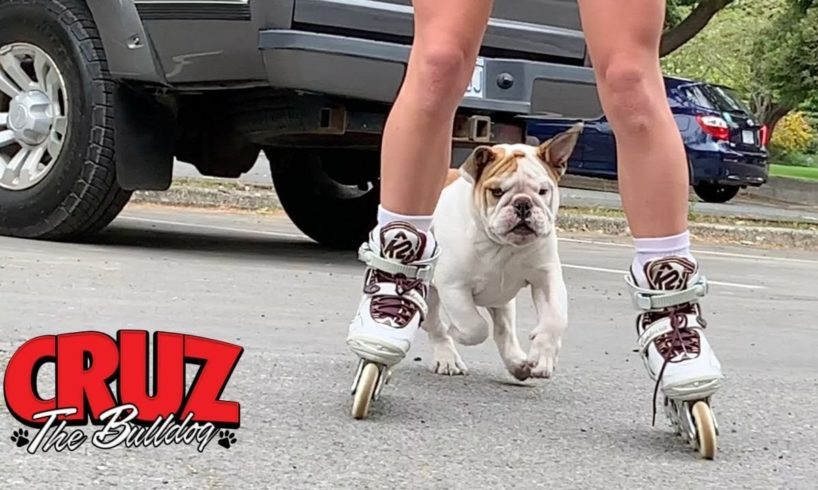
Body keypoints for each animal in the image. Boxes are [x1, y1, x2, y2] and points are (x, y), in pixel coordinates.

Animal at [420, 121, 580, 378]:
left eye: (543, 191)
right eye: (496, 192)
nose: (523, 202)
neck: (502, 247)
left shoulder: (546, 277)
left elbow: (555, 317)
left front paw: (543, 356)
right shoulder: (453, 286)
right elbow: (474, 326)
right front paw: (457, 331)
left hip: (501, 298)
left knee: (504, 328)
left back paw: (517, 363)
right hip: (429, 289)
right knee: (434, 323)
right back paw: (448, 358)